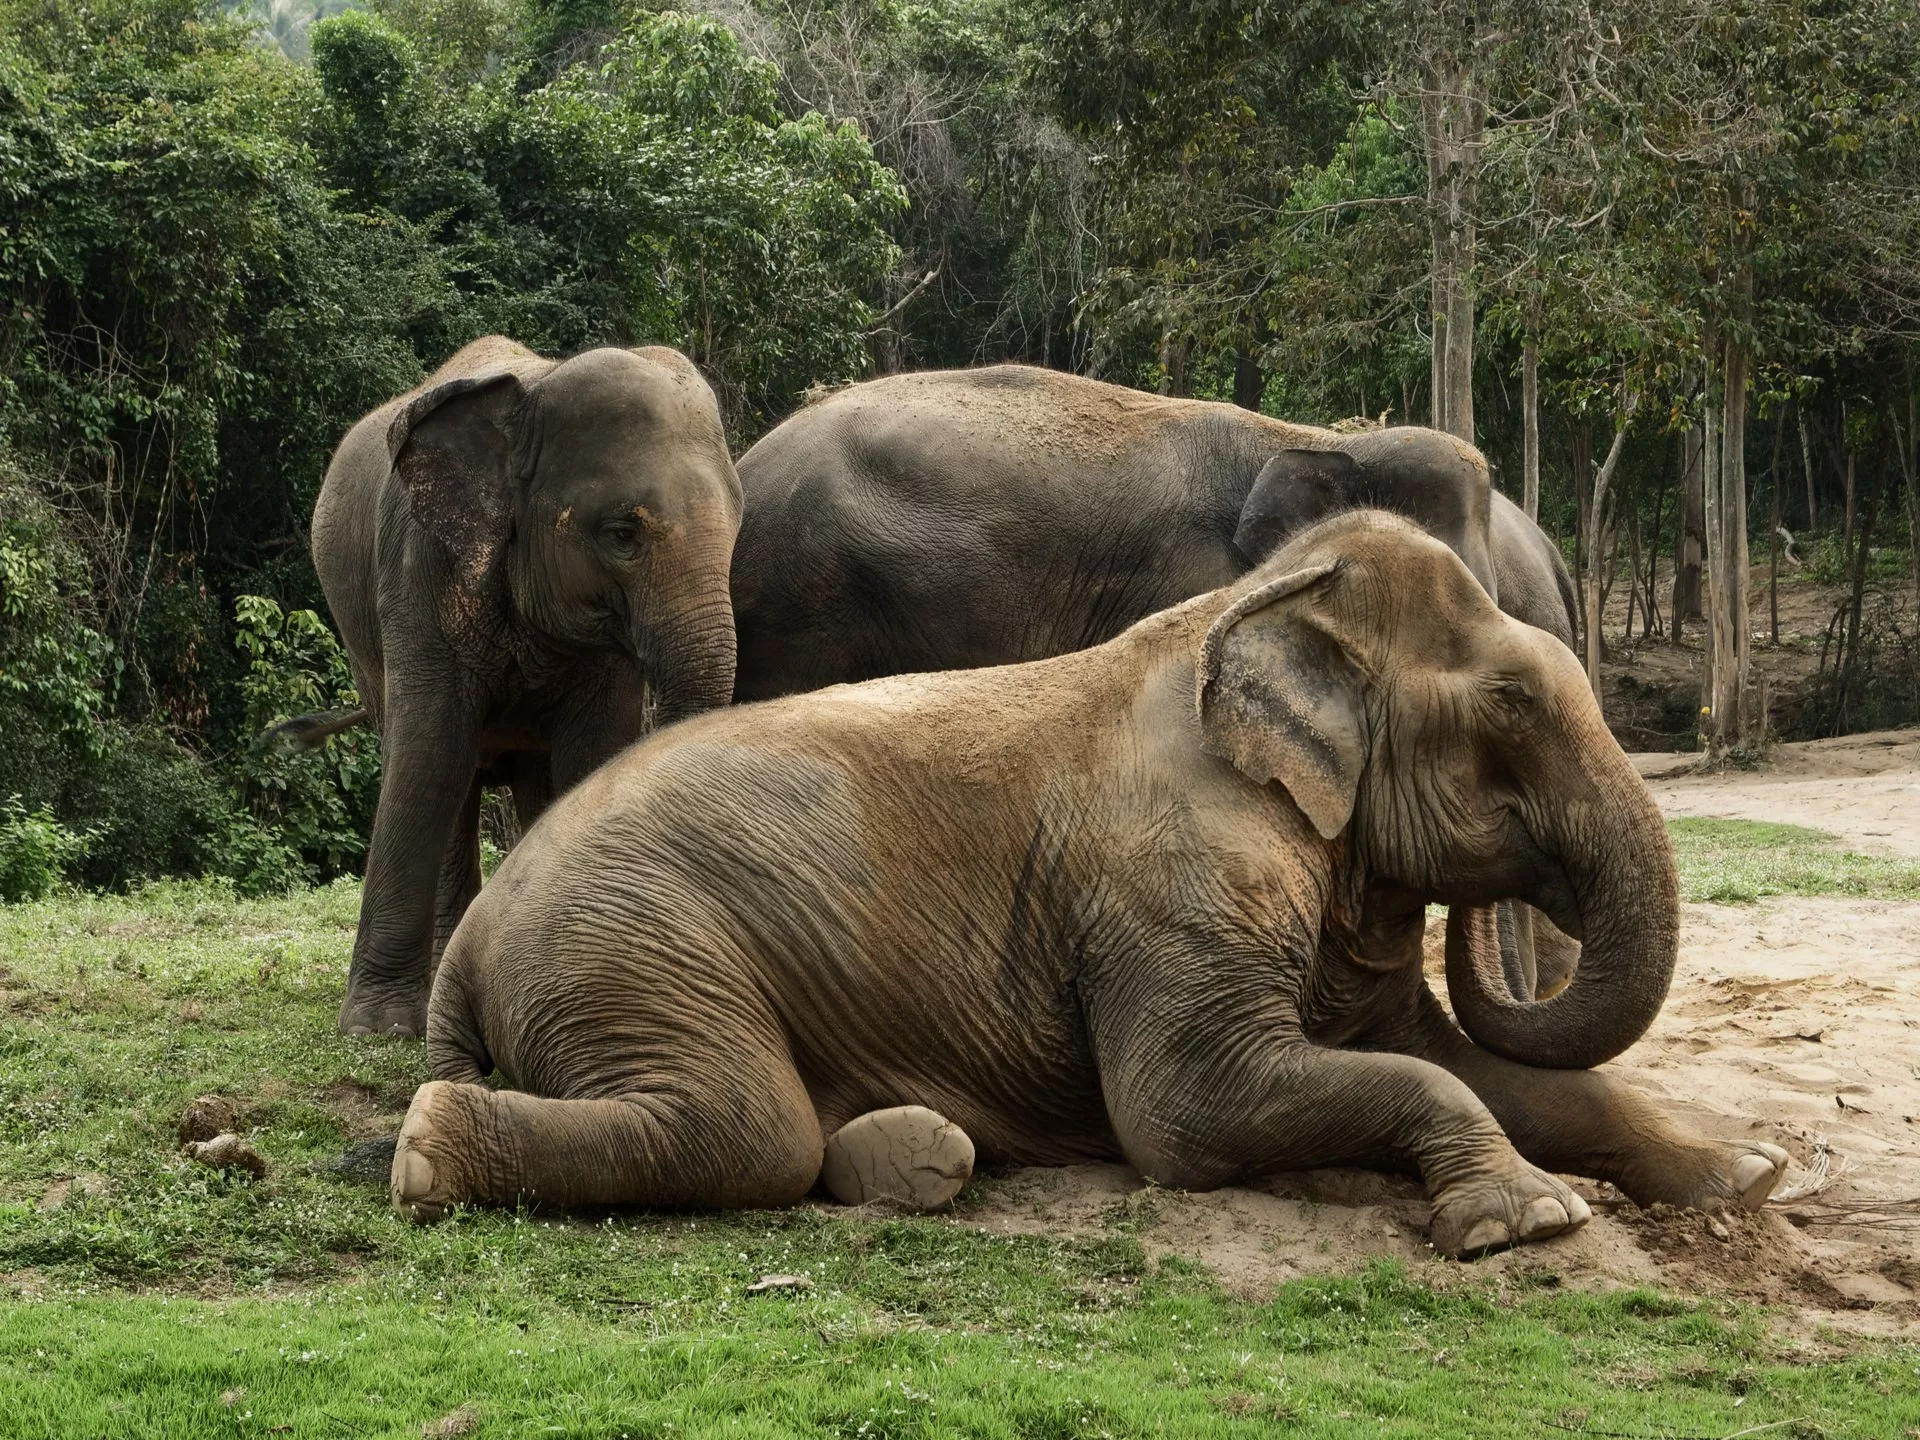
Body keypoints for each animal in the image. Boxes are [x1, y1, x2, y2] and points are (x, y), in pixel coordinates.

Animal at [311, 336, 743, 1039]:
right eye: (622, 533)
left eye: (739, 525)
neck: (533, 392)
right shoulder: (419, 568)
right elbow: (428, 755)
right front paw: (377, 1029)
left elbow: (591, 756)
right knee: (449, 775)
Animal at [390, 510, 1787, 1256]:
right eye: (1508, 702)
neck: (1250, 607)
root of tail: (480, 931)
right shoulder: (1171, 883)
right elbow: (1191, 1113)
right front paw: (1527, 1223)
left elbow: (1476, 1066)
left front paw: (1748, 1175)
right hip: (628, 946)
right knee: (745, 1124)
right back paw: (426, 1151)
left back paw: (922, 1160)